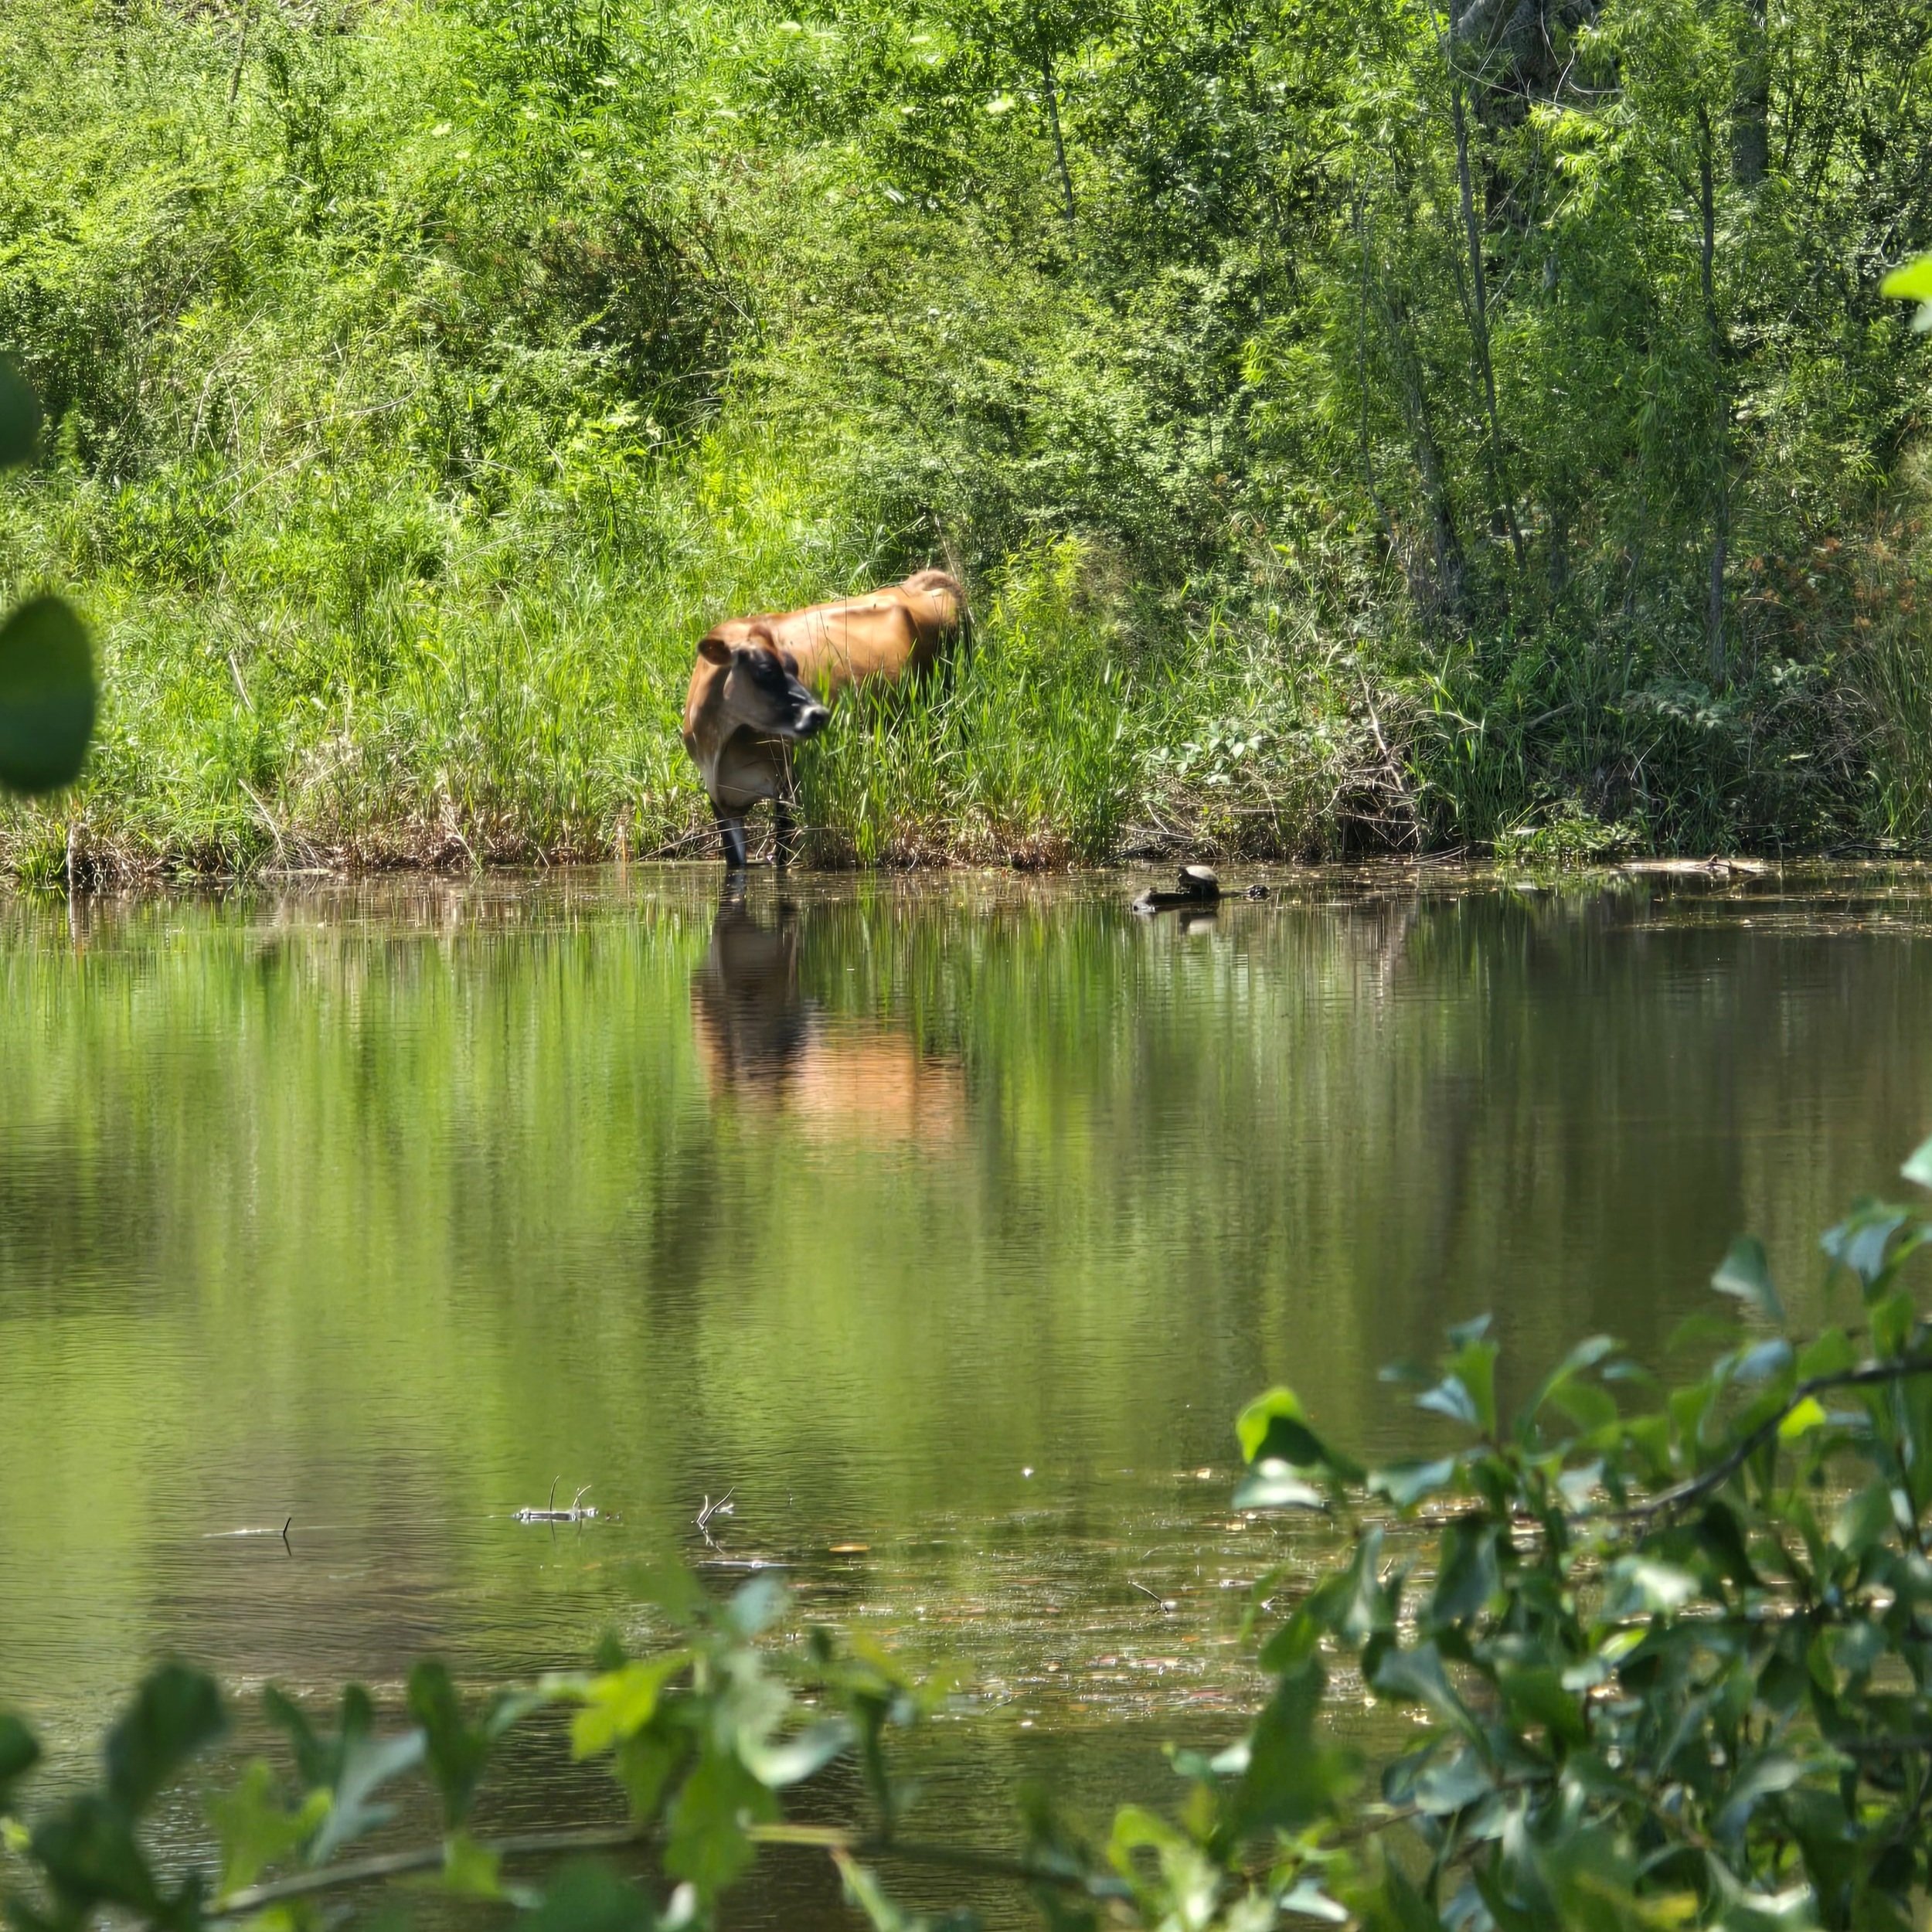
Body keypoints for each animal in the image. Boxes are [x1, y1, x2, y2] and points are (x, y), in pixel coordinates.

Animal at [681, 569, 965, 869]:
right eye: (766, 670)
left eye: (795, 667)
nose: (818, 713)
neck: (720, 748)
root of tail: (914, 586)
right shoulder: (720, 799)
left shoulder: (787, 779)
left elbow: (781, 854)